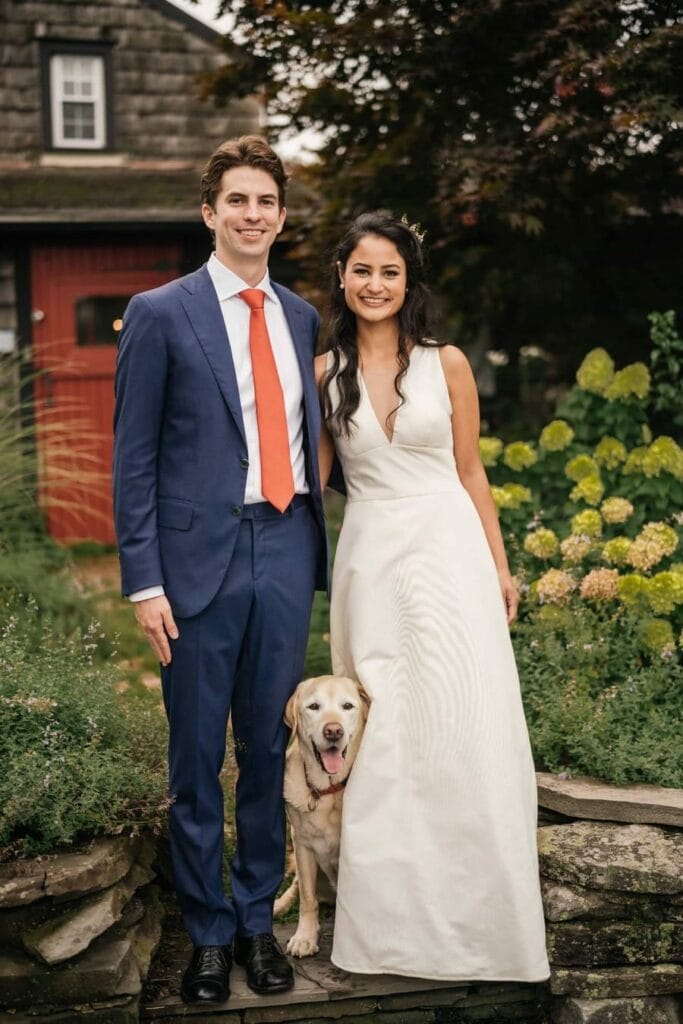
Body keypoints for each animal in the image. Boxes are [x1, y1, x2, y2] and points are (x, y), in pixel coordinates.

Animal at [274, 675, 368, 954]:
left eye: (347, 706)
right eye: (314, 707)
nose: (333, 731)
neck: (329, 789)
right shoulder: (302, 844)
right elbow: (307, 898)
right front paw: (304, 937)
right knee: (297, 887)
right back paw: (278, 905)